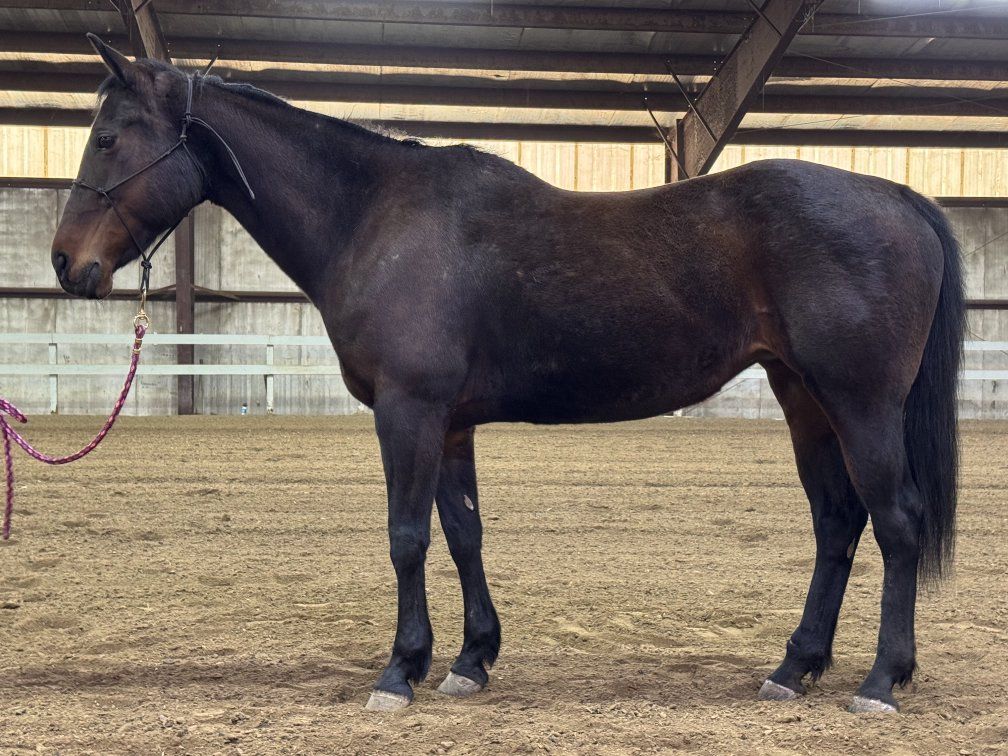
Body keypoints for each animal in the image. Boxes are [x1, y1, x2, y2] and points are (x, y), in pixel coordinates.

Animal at [51, 35, 964, 715]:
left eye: (109, 136)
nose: (65, 264)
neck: (375, 215)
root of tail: (897, 197)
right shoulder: (450, 421)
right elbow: (463, 532)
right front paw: (470, 659)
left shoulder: (409, 411)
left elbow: (407, 535)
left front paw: (400, 671)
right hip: (804, 398)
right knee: (838, 523)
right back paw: (793, 667)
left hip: (860, 405)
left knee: (896, 521)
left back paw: (881, 681)